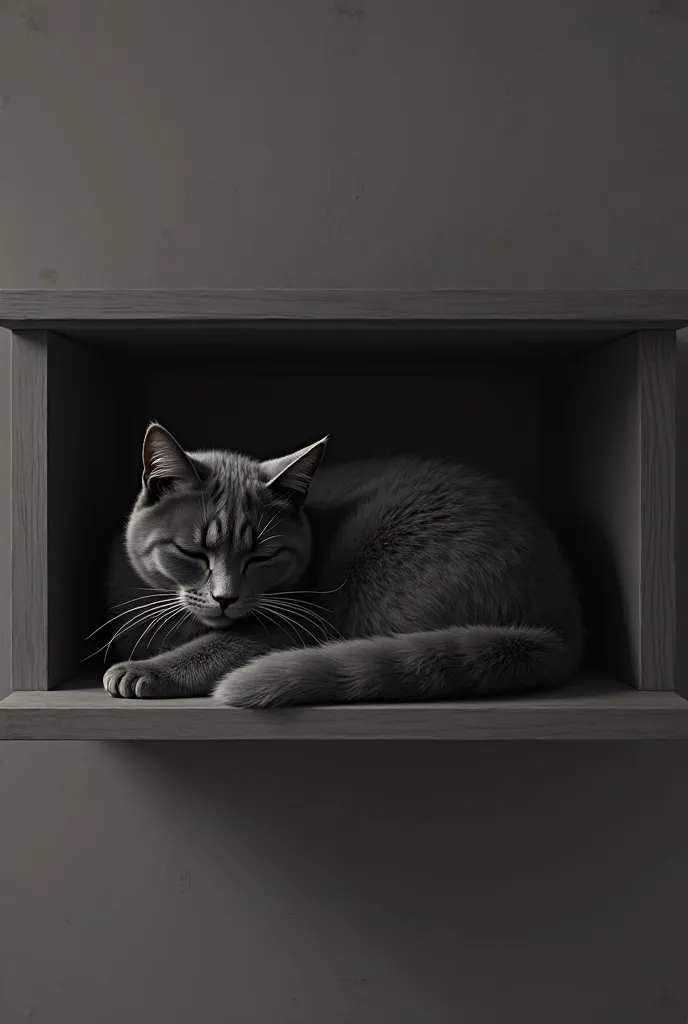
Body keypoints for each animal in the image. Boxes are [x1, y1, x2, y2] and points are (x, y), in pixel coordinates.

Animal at [104, 423, 581, 704]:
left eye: (263, 556)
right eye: (193, 553)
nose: (226, 598)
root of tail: (561, 627)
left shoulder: (294, 625)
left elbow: (220, 645)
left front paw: (143, 671)